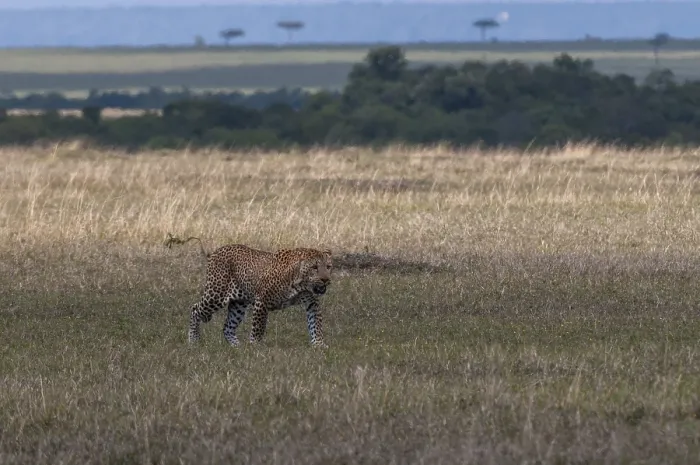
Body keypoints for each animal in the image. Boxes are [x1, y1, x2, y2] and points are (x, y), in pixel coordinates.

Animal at [165, 234, 333, 348]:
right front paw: (255, 346)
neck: (300, 283)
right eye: (314, 268)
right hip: (216, 294)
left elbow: (316, 324)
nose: (326, 280)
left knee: (227, 327)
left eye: (328, 267)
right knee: (195, 308)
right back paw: (193, 340)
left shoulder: (312, 302)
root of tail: (217, 251)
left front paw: (319, 345)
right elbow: (258, 327)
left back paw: (238, 347)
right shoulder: (262, 301)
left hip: (238, 303)